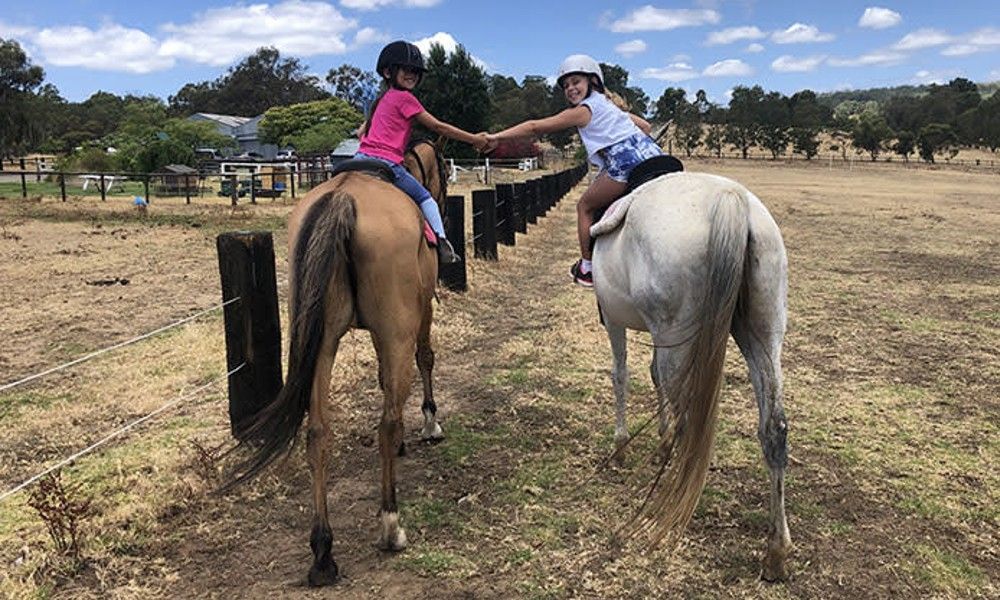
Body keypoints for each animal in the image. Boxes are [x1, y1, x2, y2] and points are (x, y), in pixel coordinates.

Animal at [230, 138, 450, 584]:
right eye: (444, 172)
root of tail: (343, 198)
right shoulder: (414, 319)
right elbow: (423, 360)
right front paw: (428, 423)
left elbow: (384, 381)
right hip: (393, 329)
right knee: (386, 422)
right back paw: (390, 526)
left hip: (322, 340)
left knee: (318, 432)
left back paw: (322, 552)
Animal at [588, 169, 792, 580]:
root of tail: (730, 200)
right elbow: (653, 377)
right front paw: (659, 442)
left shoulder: (615, 320)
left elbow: (621, 374)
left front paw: (621, 446)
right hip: (762, 333)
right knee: (774, 428)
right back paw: (776, 551)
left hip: (677, 332)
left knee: (688, 420)